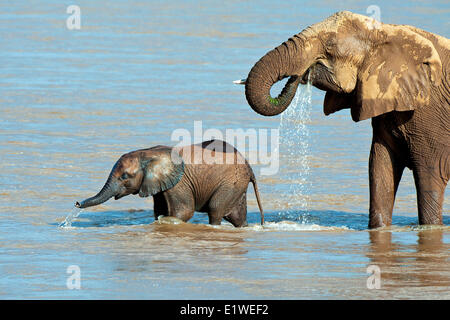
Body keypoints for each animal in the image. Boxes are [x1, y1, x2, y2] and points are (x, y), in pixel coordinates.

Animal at [74, 139, 264, 226]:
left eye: (124, 176)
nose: (76, 203)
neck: (147, 153)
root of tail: (249, 166)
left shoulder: (179, 183)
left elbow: (183, 212)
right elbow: (159, 210)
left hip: (231, 182)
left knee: (215, 210)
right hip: (237, 184)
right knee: (237, 217)